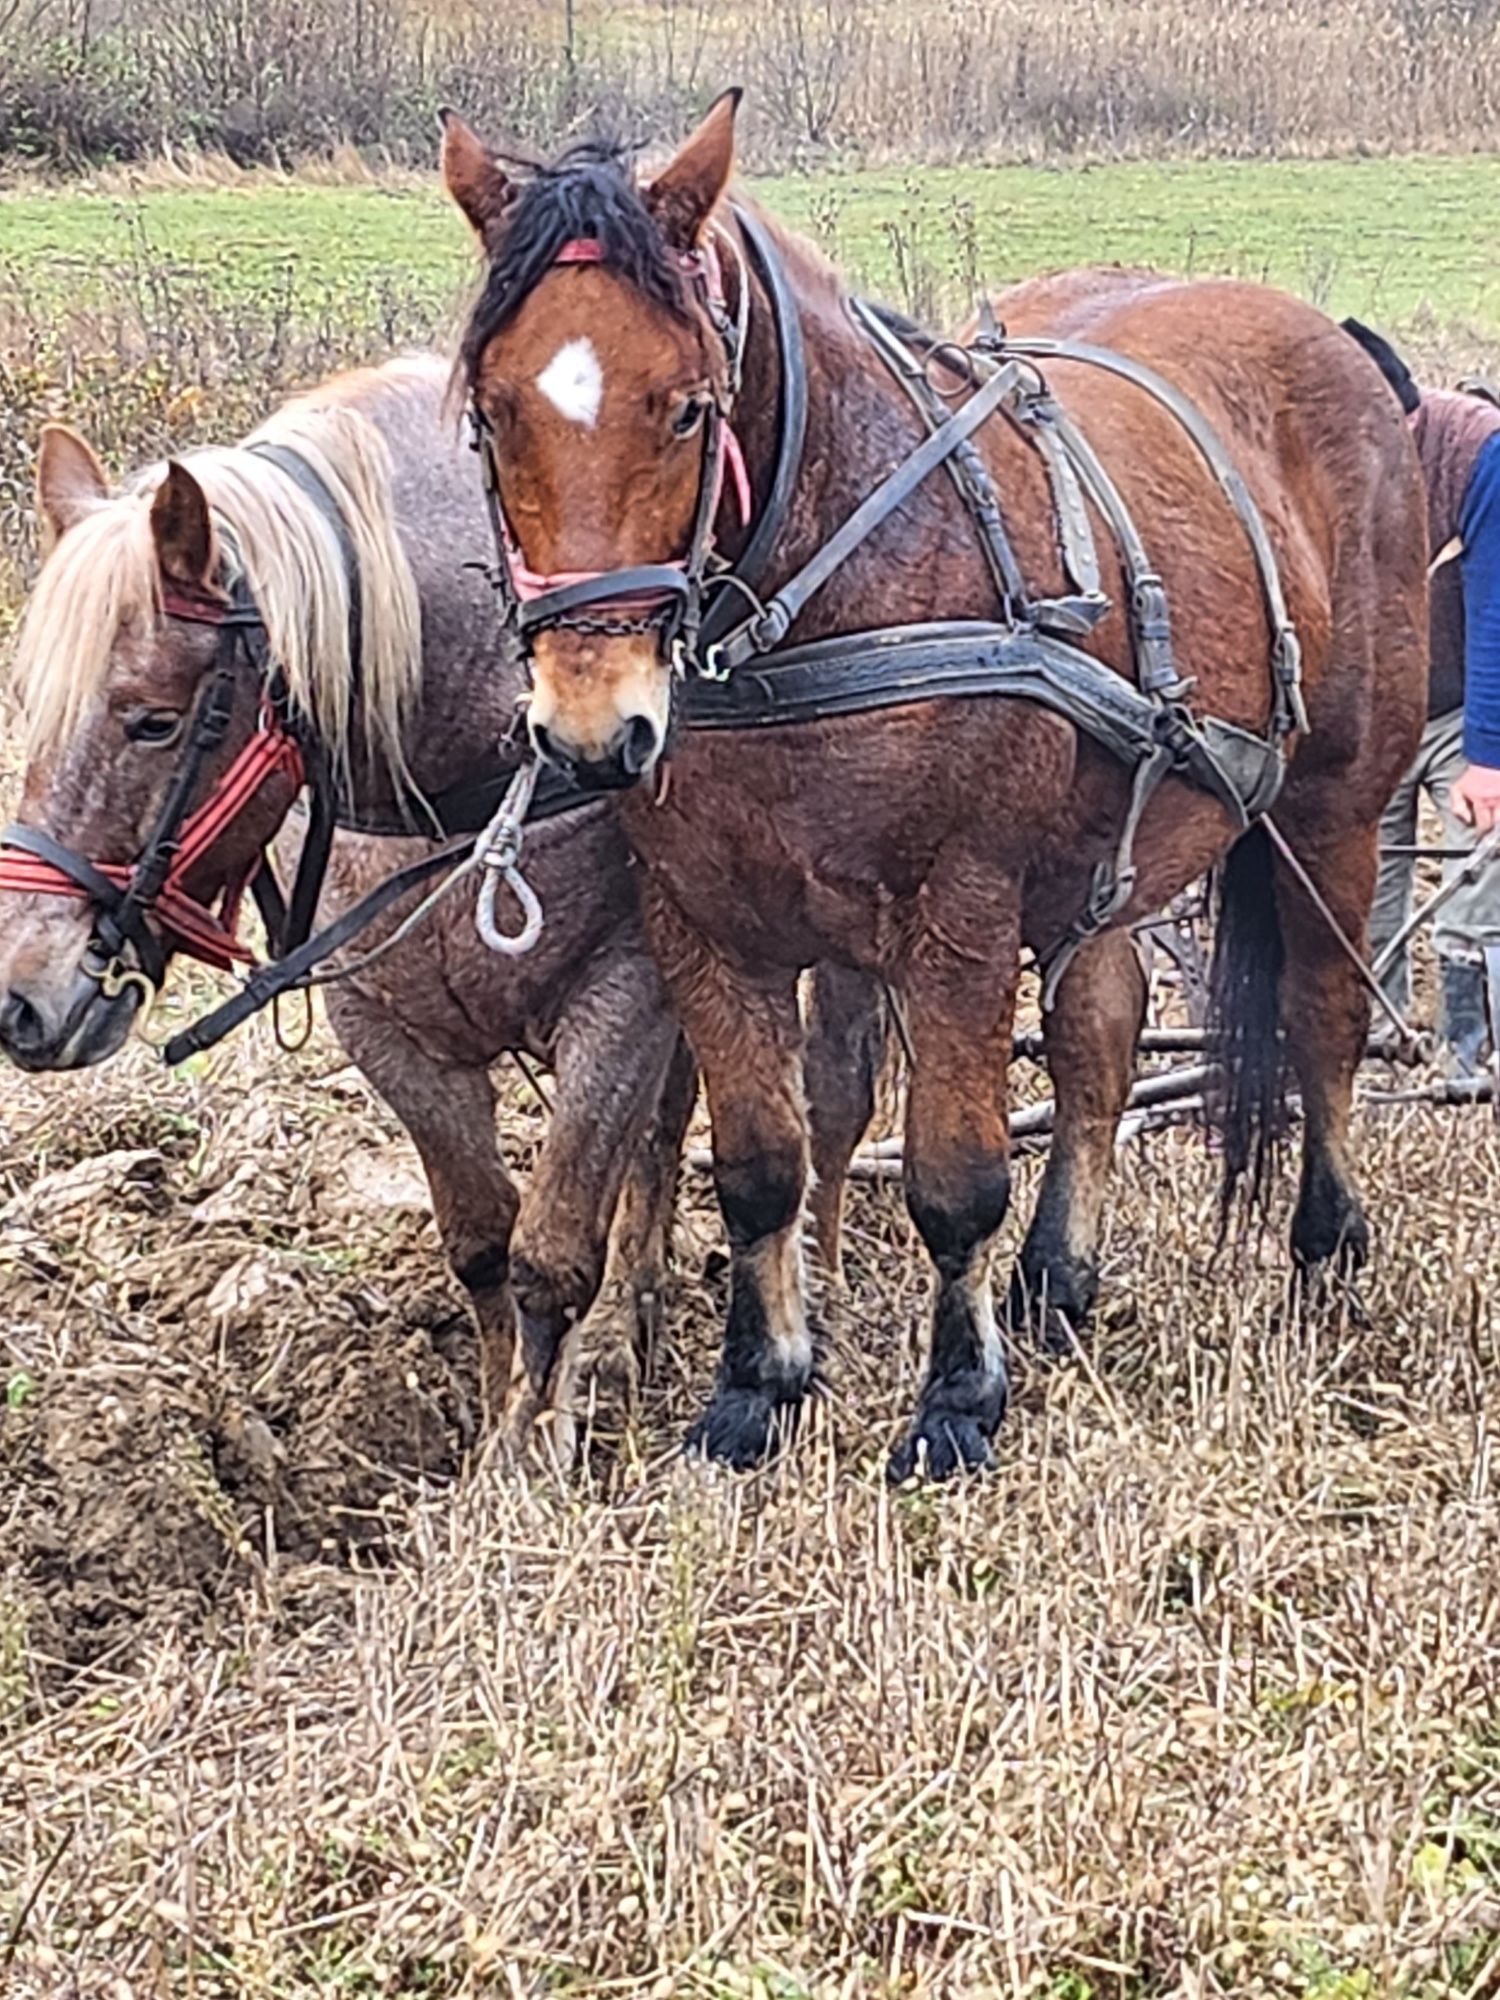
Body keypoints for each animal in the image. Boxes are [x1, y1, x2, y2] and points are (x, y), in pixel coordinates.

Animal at [0, 356, 700, 1424]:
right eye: (31, 704)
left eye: (155, 721)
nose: (21, 997)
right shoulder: (388, 1032)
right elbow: (483, 1243)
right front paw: (493, 1421)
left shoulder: (625, 999)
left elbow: (556, 1256)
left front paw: (536, 1437)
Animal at [444, 94, 1432, 1480]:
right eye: (491, 414)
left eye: (687, 408)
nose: (593, 730)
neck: (834, 584)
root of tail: (1333, 344)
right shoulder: (704, 920)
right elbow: (760, 1164)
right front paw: (756, 1387)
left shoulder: (958, 914)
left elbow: (956, 1174)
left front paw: (958, 1398)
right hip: (1103, 848)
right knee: (1101, 1035)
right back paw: (1058, 1282)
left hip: (1336, 802)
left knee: (1323, 1015)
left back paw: (1325, 1251)